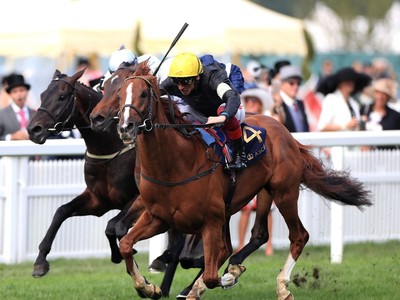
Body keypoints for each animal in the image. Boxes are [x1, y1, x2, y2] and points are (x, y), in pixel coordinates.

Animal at [26, 69, 144, 278]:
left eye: (62, 96)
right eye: (42, 95)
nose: (34, 129)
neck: (110, 147)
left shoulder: (138, 198)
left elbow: (113, 226)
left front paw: (121, 254)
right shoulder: (98, 200)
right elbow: (61, 211)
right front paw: (40, 262)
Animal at [115, 62, 372, 298]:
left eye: (144, 93)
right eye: (119, 95)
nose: (125, 127)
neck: (176, 165)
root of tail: (286, 132)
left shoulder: (210, 220)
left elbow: (211, 276)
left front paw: (227, 277)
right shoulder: (158, 217)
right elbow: (126, 244)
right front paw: (148, 287)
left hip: (284, 192)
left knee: (299, 235)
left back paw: (280, 285)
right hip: (256, 195)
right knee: (255, 236)